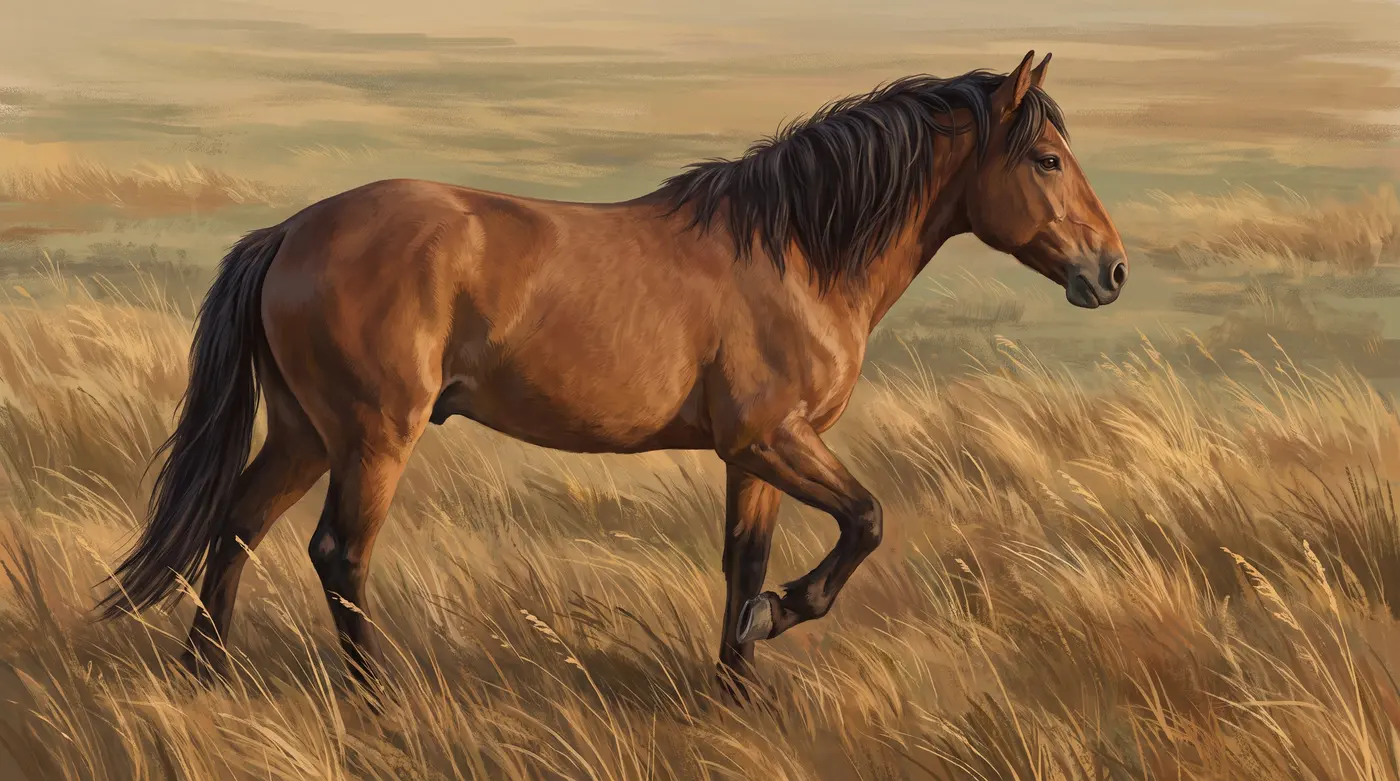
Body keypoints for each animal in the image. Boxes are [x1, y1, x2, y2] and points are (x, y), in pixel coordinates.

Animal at [96, 50, 1128, 700]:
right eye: (1047, 159)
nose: (1111, 271)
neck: (796, 249)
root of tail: (290, 232)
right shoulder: (776, 438)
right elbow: (866, 521)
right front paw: (778, 619)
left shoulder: (752, 455)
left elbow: (744, 561)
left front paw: (735, 687)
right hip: (372, 436)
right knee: (337, 553)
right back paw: (375, 697)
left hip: (306, 430)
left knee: (237, 526)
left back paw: (204, 677)